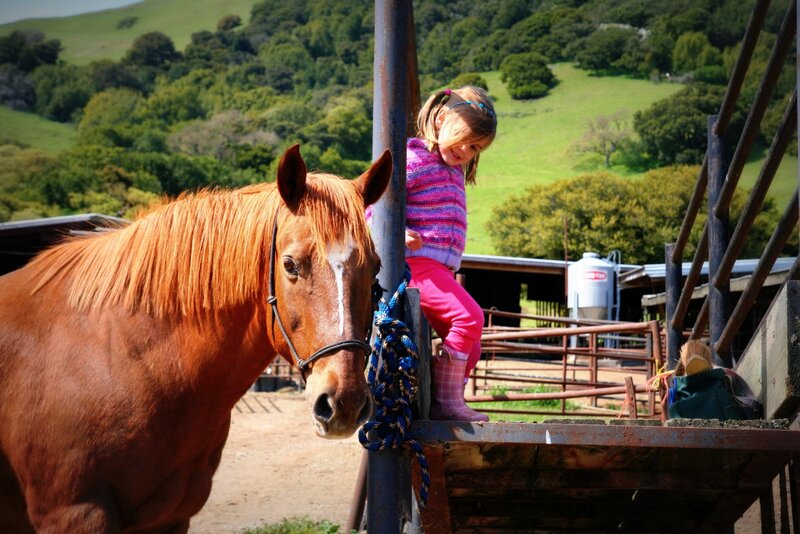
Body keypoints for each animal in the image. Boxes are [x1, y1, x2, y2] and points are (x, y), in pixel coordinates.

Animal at [0, 144, 391, 533]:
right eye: (290, 265)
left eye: (375, 267)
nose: (345, 402)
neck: (119, 356)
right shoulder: (75, 514)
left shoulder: (173, 517)